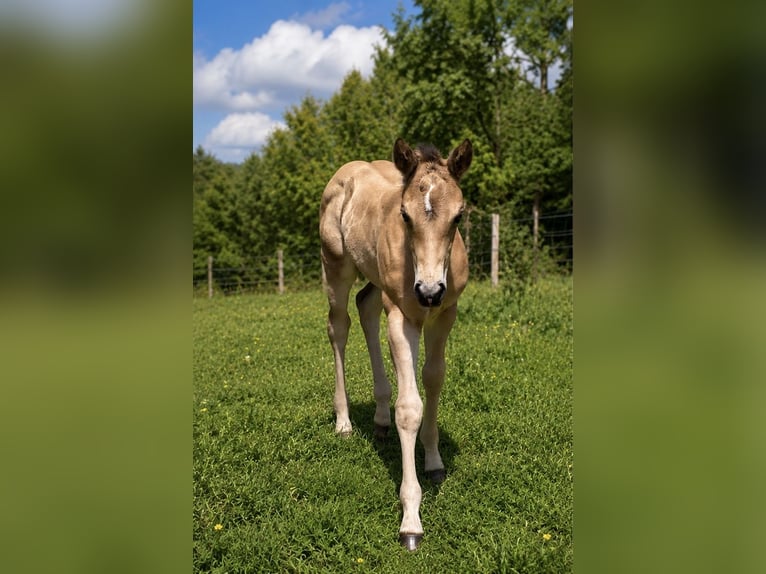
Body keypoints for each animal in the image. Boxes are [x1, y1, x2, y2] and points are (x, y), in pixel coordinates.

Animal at [319, 138, 472, 550]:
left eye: (458, 217)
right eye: (404, 215)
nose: (429, 291)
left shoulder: (446, 314)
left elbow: (434, 379)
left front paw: (433, 461)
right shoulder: (404, 318)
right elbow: (409, 408)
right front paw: (411, 520)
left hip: (376, 282)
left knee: (366, 306)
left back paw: (379, 418)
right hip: (336, 267)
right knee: (339, 326)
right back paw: (344, 422)